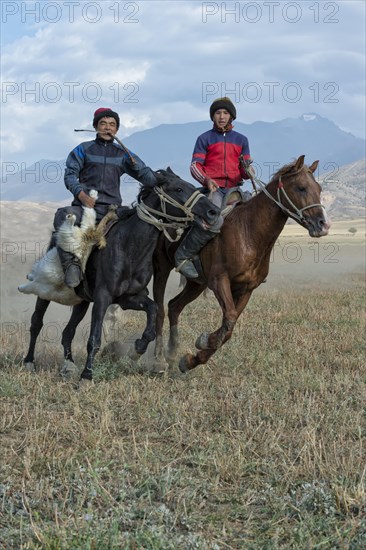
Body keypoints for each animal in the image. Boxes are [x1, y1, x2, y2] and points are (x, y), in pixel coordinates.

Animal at [22, 171, 220, 384]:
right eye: (179, 188)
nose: (213, 212)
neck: (129, 248)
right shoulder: (103, 297)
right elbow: (94, 339)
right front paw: (87, 376)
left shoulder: (127, 298)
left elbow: (153, 311)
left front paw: (136, 351)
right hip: (44, 294)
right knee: (36, 323)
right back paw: (29, 362)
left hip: (82, 301)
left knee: (68, 332)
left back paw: (69, 366)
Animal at [152, 155, 332, 376]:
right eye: (301, 188)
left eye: (319, 189)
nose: (322, 225)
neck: (249, 232)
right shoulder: (219, 280)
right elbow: (229, 318)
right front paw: (203, 341)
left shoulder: (246, 289)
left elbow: (229, 327)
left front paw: (191, 359)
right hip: (161, 269)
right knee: (159, 309)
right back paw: (158, 359)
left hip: (196, 284)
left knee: (174, 306)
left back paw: (171, 352)